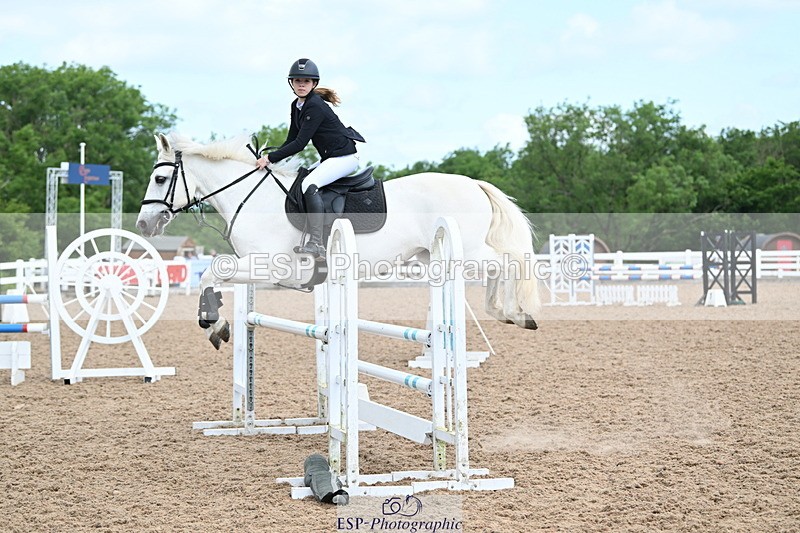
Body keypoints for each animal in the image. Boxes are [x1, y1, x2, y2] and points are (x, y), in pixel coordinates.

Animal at [136, 133, 540, 349]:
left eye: (159, 179)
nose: (144, 223)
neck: (253, 198)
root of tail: (474, 183)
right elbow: (214, 275)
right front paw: (217, 323)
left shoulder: (269, 267)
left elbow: (211, 273)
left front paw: (215, 325)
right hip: (435, 256)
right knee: (501, 264)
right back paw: (508, 313)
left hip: (466, 252)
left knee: (508, 261)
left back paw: (515, 312)